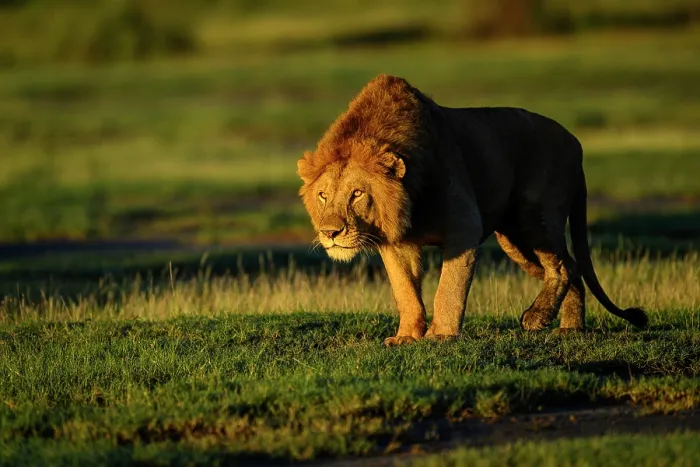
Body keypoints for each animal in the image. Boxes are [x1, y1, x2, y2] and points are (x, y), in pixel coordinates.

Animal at [297, 74, 648, 346]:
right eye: (323, 196)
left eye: (356, 194)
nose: (330, 232)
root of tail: (576, 143)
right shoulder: (396, 242)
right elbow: (405, 290)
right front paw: (407, 336)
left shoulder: (464, 227)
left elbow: (449, 288)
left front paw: (441, 336)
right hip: (514, 241)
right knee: (571, 266)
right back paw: (569, 329)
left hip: (534, 218)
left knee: (562, 267)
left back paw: (536, 317)